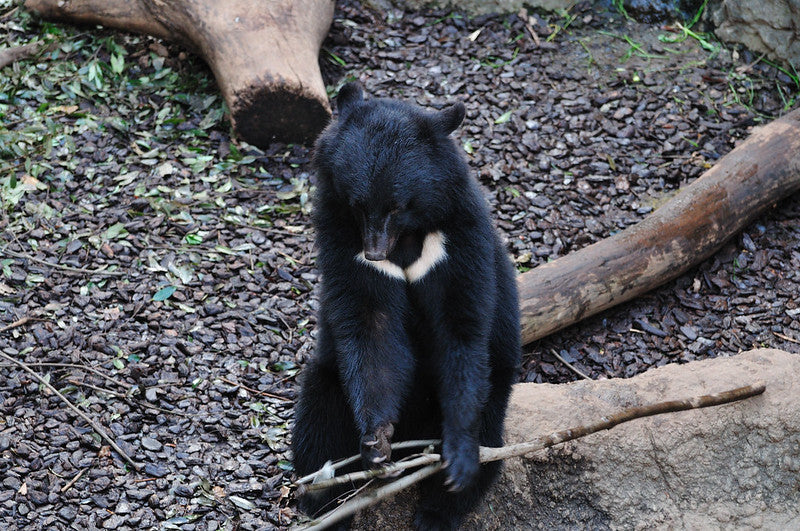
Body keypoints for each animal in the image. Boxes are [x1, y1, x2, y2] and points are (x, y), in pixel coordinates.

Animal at [290, 82, 520, 528]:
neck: (408, 240)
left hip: (498, 384)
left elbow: (460, 328)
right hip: (327, 382)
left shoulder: (458, 242)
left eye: (398, 205)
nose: (374, 252)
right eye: (358, 204)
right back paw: (324, 503)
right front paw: (376, 441)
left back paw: (437, 510)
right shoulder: (342, 241)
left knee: (490, 441)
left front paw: (458, 457)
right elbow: (370, 326)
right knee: (316, 428)